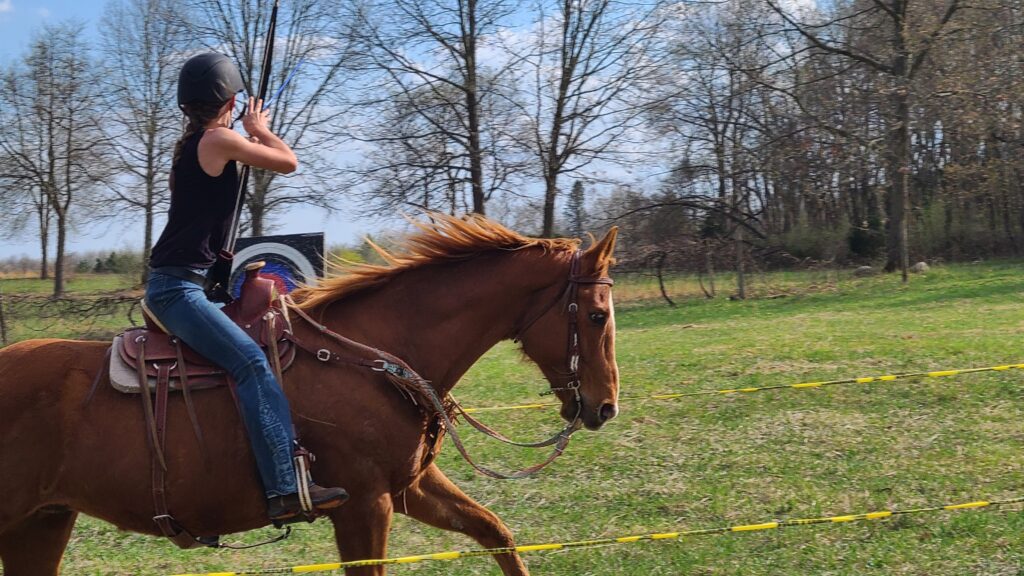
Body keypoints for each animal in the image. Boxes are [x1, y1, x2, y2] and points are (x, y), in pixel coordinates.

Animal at [0, 214, 620, 576]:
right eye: (596, 314)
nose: (606, 405)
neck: (376, 354)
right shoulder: (365, 507)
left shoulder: (410, 489)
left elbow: (497, 533)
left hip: (42, 522)